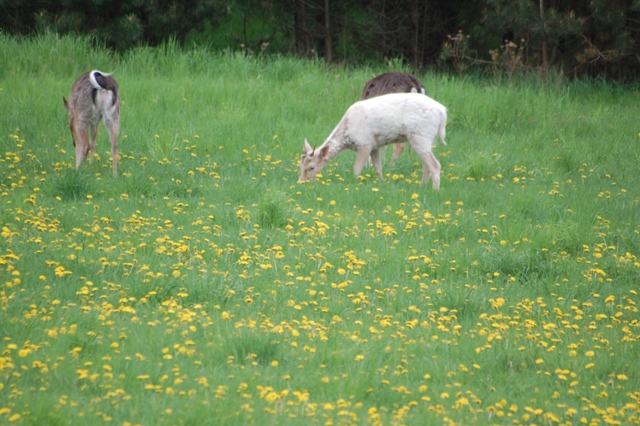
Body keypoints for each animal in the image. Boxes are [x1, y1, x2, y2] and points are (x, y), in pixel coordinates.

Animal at [298, 93, 444, 190]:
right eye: (300, 165)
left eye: (311, 167)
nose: (300, 182)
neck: (347, 132)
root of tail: (442, 111)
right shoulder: (375, 146)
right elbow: (378, 168)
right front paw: (381, 183)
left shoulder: (365, 143)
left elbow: (357, 168)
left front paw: (355, 184)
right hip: (425, 139)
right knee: (426, 165)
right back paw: (421, 187)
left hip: (421, 135)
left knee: (435, 165)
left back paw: (434, 191)